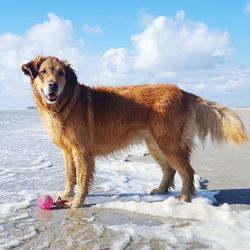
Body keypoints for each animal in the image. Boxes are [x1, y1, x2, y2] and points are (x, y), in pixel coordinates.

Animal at [21, 55, 248, 208]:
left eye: (61, 73)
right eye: (43, 72)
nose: (53, 86)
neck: (65, 103)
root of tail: (184, 92)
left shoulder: (82, 151)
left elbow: (82, 178)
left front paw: (77, 202)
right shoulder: (68, 151)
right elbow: (70, 175)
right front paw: (67, 194)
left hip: (169, 143)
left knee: (187, 171)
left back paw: (184, 197)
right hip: (155, 144)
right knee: (170, 170)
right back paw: (161, 190)